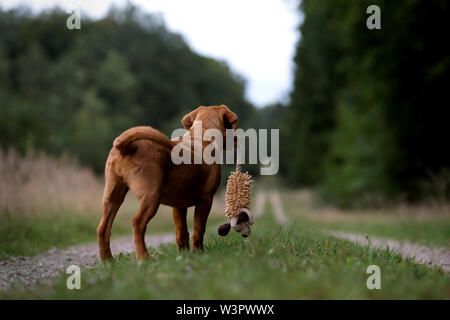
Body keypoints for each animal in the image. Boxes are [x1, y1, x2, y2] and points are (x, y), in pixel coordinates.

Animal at [96, 104, 237, 260]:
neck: (201, 137)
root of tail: (128, 146)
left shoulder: (179, 206)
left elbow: (181, 232)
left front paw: (183, 255)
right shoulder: (205, 200)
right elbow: (199, 229)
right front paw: (199, 253)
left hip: (112, 197)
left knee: (103, 228)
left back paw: (108, 260)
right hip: (151, 197)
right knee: (137, 223)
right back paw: (144, 258)